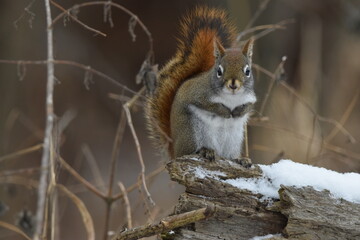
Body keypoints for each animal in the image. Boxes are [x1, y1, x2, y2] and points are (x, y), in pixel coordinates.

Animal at [146, 6, 256, 161]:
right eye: (219, 71)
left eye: (247, 71)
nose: (233, 84)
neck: (231, 98)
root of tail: (175, 151)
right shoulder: (197, 93)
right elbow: (208, 105)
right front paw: (224, 111)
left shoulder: (250, 97)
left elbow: (249, 106)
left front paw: (239, 111)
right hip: (192, 132)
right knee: (191, 150)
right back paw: (205, 151)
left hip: (233, 140)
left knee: (228, 155)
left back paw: (239, 159)